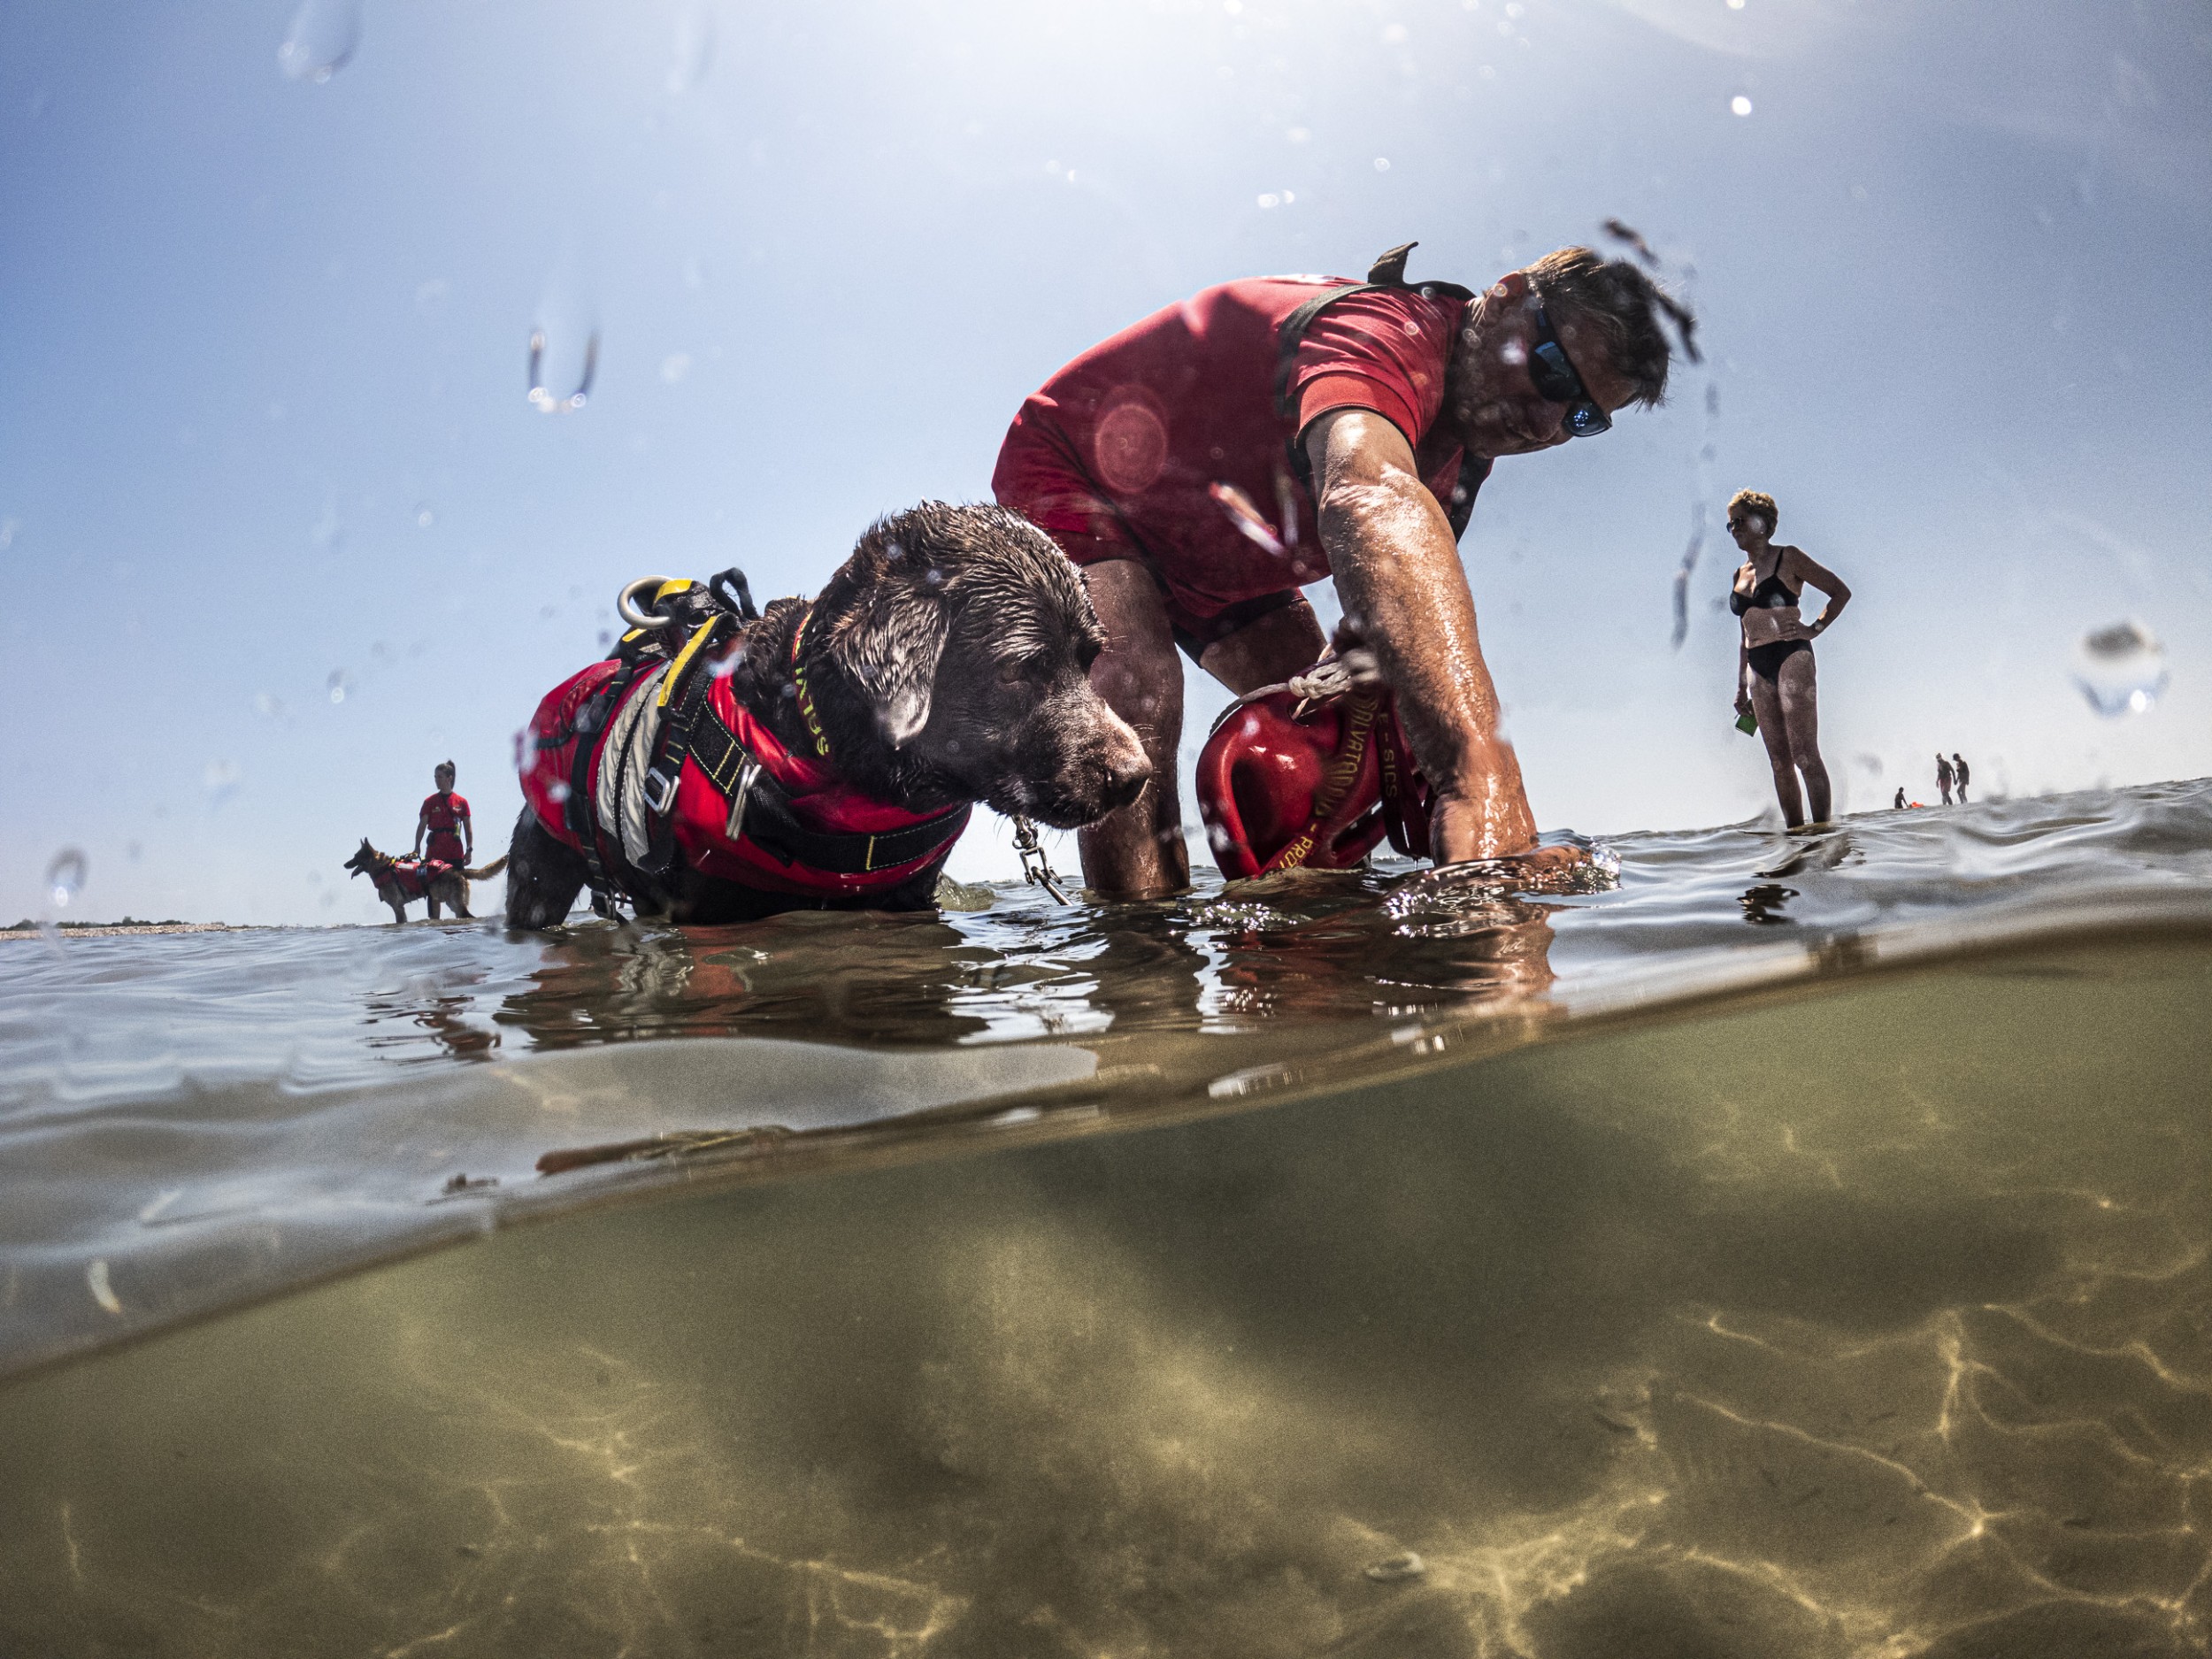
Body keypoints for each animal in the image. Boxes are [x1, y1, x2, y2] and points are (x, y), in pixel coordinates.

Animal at [342, 845, 506, 925]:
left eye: (356, 857)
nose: (344, 864)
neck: (382, 867)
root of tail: (458, 870)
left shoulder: (397, 907)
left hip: (454, 903)